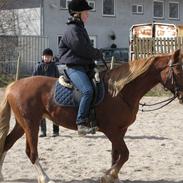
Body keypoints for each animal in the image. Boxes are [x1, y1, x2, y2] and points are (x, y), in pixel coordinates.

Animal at [0, 49, 183, 183]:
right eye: (178, 70)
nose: (182, 95)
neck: (119, 92)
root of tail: (13, 86)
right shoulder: (111, 130)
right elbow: (125, 154)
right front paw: (108, 175)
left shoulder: (121, 130)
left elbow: (116, 155)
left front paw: (113, 177)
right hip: (31, 124)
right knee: (31, 153)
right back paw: (45, 178)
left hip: (22, 124)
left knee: (7, 143)